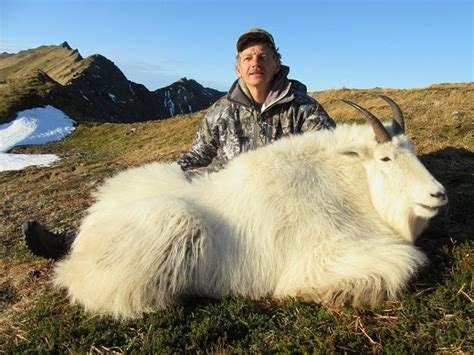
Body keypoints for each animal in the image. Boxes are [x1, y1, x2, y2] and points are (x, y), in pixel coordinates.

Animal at [53, 95, 446, 320]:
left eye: (412, 150)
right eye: (385, 158)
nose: (437, 195)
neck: (347, 186)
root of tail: (81, 245)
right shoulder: (327, 256)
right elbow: (408, 263)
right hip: (174, 222)